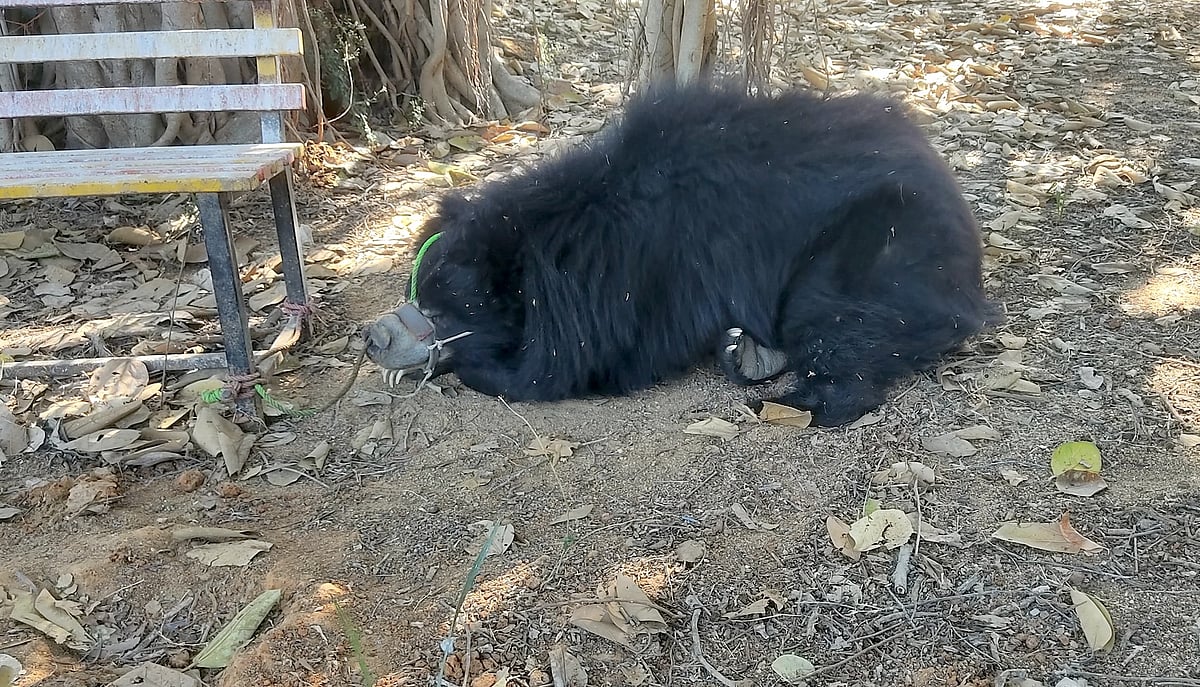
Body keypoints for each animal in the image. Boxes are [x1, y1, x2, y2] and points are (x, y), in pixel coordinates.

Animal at [362, 81, 995, 426]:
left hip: (880, 249)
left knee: (846, 333)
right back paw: (746, 353)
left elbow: (572, 366)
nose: (372, 337)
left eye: (441, 311)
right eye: (413, 289)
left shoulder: (647, 287)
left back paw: (788, 402)